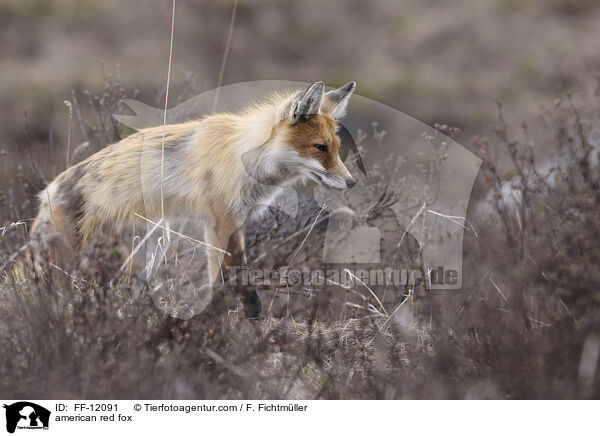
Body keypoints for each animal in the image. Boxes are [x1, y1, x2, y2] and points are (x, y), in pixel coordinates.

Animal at [31, 81, 356, 316]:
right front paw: (243, 319)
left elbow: (221, 279)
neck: (246, 158)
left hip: (156, 242)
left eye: (337, 148)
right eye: (320, 147)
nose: (352, 182)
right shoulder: (221, 222)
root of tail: (46, 191)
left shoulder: (223, 225)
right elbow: (234, 279)